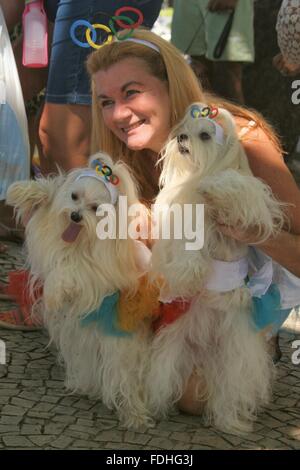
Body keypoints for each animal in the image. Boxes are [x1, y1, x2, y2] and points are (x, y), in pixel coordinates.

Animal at [7, 152, 157, 428]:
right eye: (74, 196)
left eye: (96, 208)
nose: (75, 216)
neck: (81, 244)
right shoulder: (50, 239)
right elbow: (49, 199)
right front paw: (29, 192)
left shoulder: (100, 277)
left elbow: (76, 273)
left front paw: (57, 292)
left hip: (121, 350)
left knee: (124, 379)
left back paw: (134, 413)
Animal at [148, 103, 286, 434]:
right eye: (183, 128)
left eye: (205, 135)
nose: (181, 137)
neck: (194, 176)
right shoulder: (179, 223)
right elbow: (186, 247)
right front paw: (187, 273)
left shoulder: (248, 203)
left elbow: (234, 186)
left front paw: (214, 185)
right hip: (173, 346)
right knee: (164, 375)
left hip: (236, 357)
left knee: (232, 389)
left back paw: (231, 421)